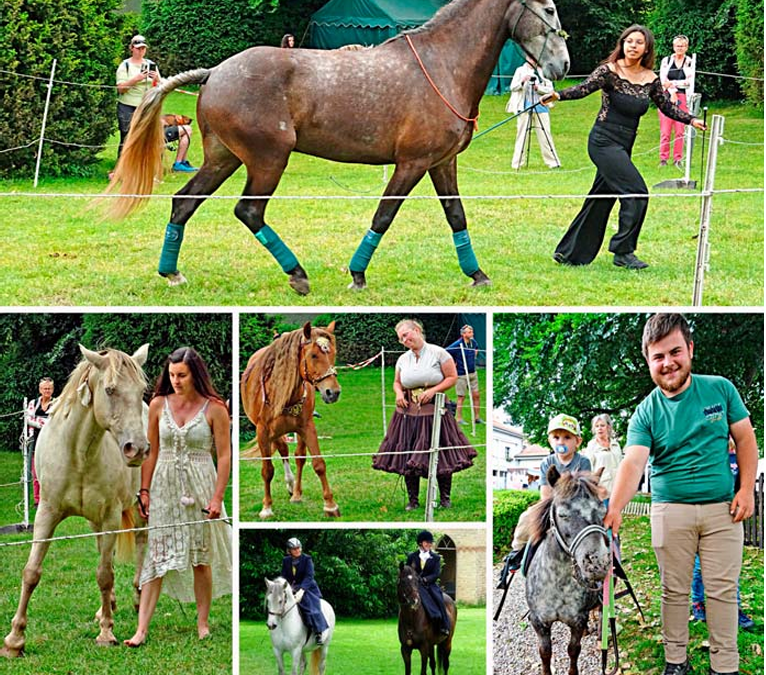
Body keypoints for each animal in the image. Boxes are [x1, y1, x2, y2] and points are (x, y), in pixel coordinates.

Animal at [2, 346, 151, 656]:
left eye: (141, 389)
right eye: (109, 389)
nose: (138, 449)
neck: (79, 453)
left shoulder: (111, 515)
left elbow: (104, 574)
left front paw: (106, 633)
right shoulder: (46, 513)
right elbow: (31, 572)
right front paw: (14, 640)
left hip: (137, 506)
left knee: (142, 541)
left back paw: (137, 596)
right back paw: (107, 606)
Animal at [106, 0, 568, 296]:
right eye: (547, 9)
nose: (561, 66)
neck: (442, 66)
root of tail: (215, 72)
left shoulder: (442, 163)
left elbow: (457, 217)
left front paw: (477, 274)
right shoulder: (412, 163)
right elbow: (383, 216)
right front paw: (357, 275)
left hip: (224, 159)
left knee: (184, 203)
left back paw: (172, 273)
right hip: (267, 160)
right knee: (249, 211)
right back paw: (297, 275)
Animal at [242, 320, 340, 516]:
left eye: (333, 353)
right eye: (313, 355)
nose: (333, 392)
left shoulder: (307, 427)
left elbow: (318, 463)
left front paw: (330, 505)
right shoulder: (263, 432)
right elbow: (267, 470)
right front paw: (267, 507)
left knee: (298, 456)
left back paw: (295, 493)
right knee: (283, 450)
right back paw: (290, 484)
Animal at [524, 468, 608, 675]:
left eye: (603, 512)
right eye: (563, 515)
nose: (598, 564)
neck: (557, 582)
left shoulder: (577, 619)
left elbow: (573, 649)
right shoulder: (538, 621)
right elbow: (545, 652)